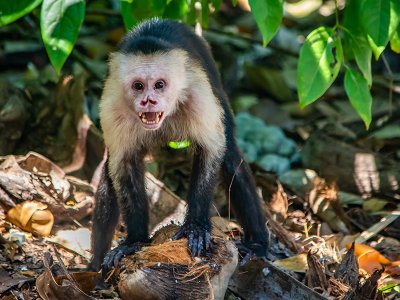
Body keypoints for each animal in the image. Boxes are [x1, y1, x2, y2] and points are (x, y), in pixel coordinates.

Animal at [87, 18, 268, 272]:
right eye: (138, 86)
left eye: (159, 85)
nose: (149, 101)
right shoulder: (112, 106)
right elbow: (124, 164)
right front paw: (134, 242)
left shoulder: (198, 94)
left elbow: (210, 150)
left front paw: (196, 227)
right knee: (108, 173)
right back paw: (95, 267)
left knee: (230, 156)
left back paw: (257, 245)